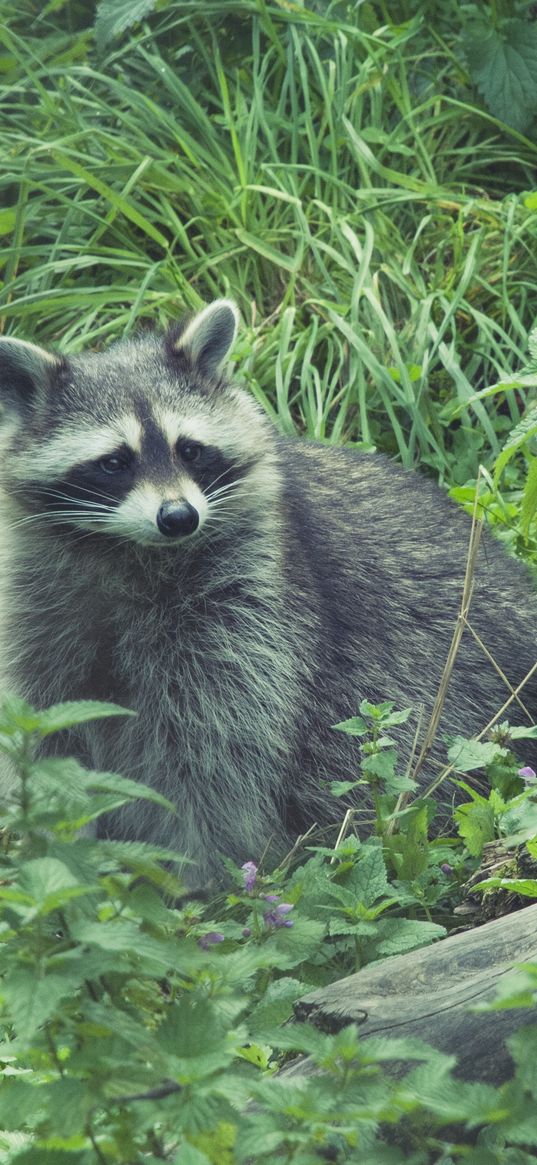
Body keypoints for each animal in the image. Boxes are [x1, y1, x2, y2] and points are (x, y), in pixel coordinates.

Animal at [1, 300, 535, 880]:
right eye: (114, 462)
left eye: (190, 450)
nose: (179, 518)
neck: (130, 553)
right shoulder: (41, 609)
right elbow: (50, 737)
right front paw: (59, 847)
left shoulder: (251, 609)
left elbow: (212, 752)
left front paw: (196, 867)